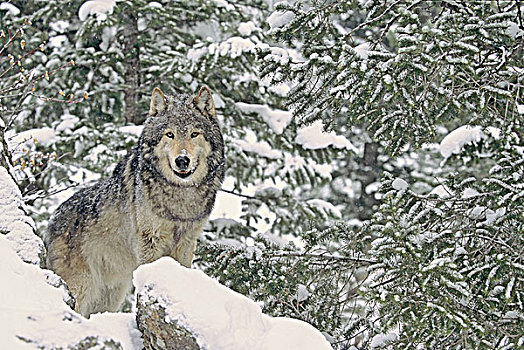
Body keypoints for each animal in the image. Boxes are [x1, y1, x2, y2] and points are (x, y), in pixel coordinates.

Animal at [45, 86, 225, 316]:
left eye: (194, 134)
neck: (180, 196)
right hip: (82, 287)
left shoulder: (186, 241)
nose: (182, 160)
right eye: (170, 134)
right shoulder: (150, 239)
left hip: (110, 296)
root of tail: (52, 220)